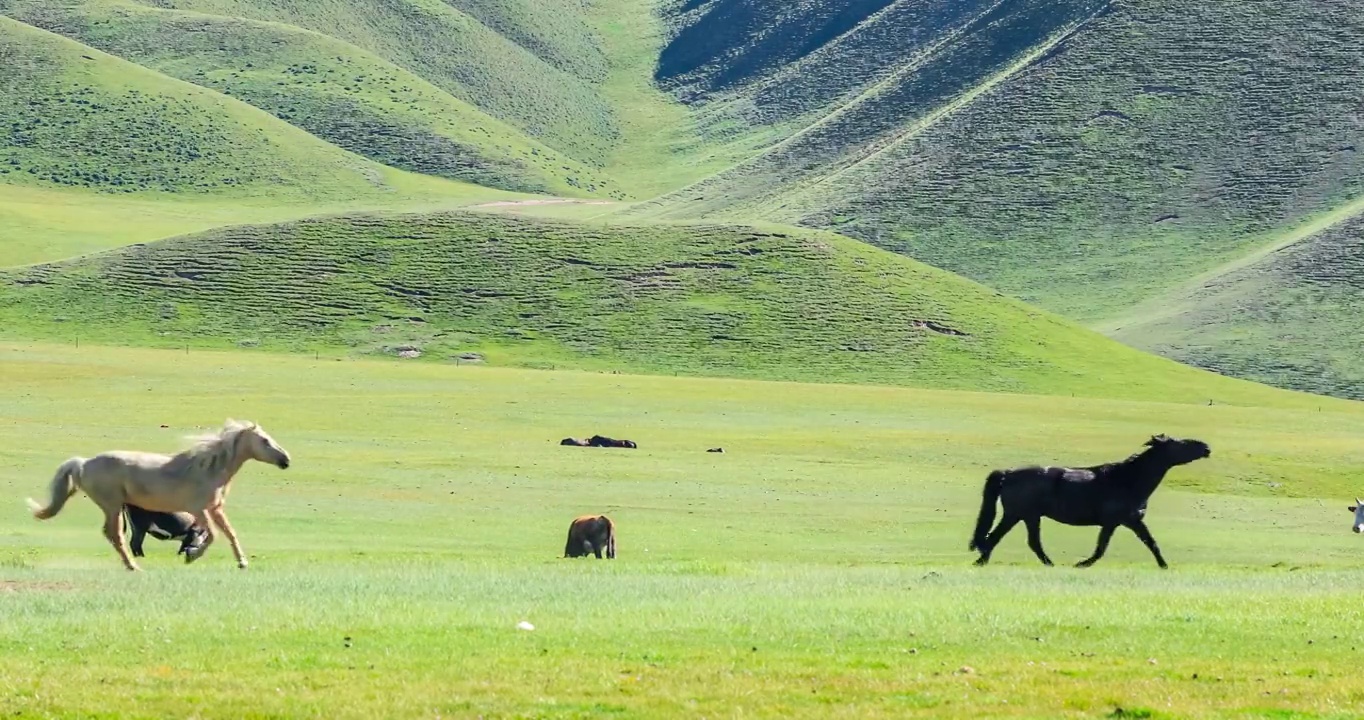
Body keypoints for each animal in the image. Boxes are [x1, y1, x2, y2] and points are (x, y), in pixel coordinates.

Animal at [25, 420, 290, 570]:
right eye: (264, 440)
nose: (286, 460)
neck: (207, 469)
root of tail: (83, 464)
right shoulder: (199, 510)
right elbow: (213, 535)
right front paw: (192, 556)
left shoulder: (215, 509)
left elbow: (230, 534)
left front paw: (242, 562)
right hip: (112, 506)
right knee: (116, 536)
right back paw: (133, 567)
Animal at [965, 433, 1211, 567]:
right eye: (1180, 444)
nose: (1206, 447)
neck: (1127, 480)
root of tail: (1008, 474)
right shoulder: (1119, 521)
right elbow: (1102, 549)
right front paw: (1081, 564)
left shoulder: (1130, 522)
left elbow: (1151, 543)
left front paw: (1164, 566)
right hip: (1018, 515)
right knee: (998, 538)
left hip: (1028, 517)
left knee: (1026, 542)